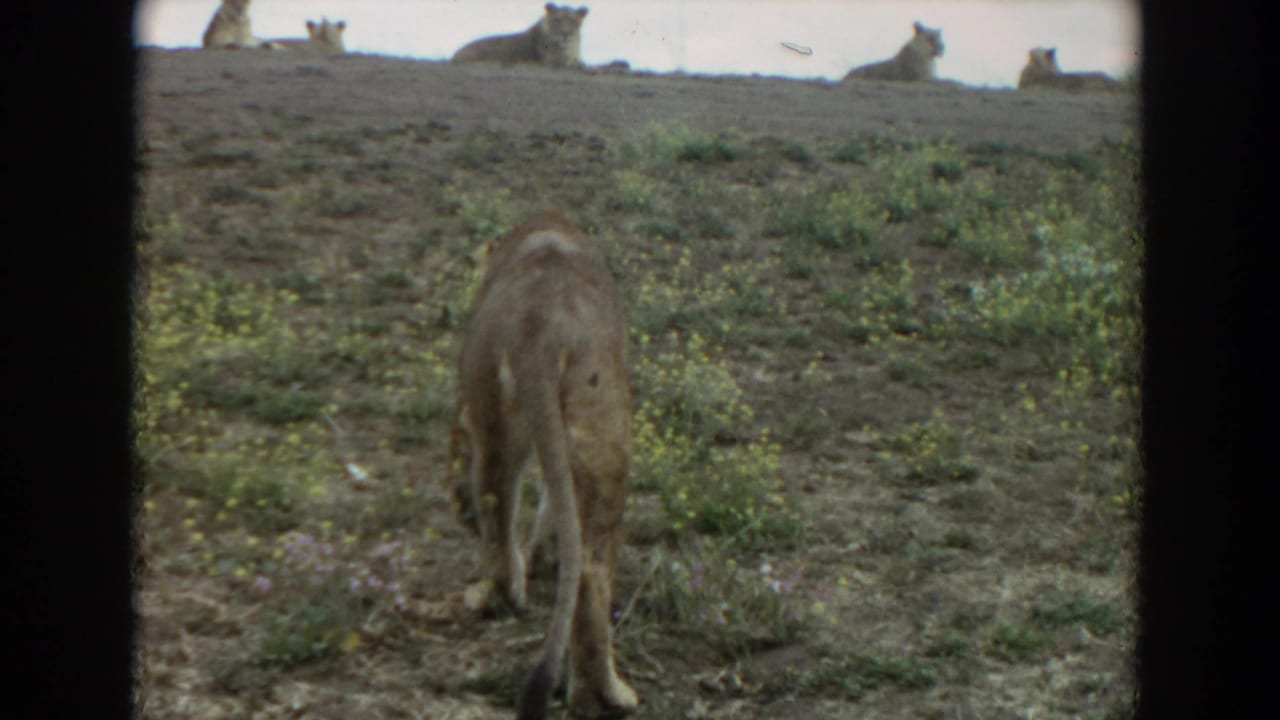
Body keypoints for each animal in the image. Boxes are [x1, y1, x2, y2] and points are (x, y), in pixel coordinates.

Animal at [452, 3, 589, 69]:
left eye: (573, 21)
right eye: (557, 20)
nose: (565, 34)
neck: (571, 47)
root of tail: (454, 56)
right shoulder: (551, 61)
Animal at [455, 211, 638, 720]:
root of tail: (541, 326)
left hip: (498, 424)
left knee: (497, 513)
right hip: (604, 430)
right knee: (591, 570)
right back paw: (604, 695)